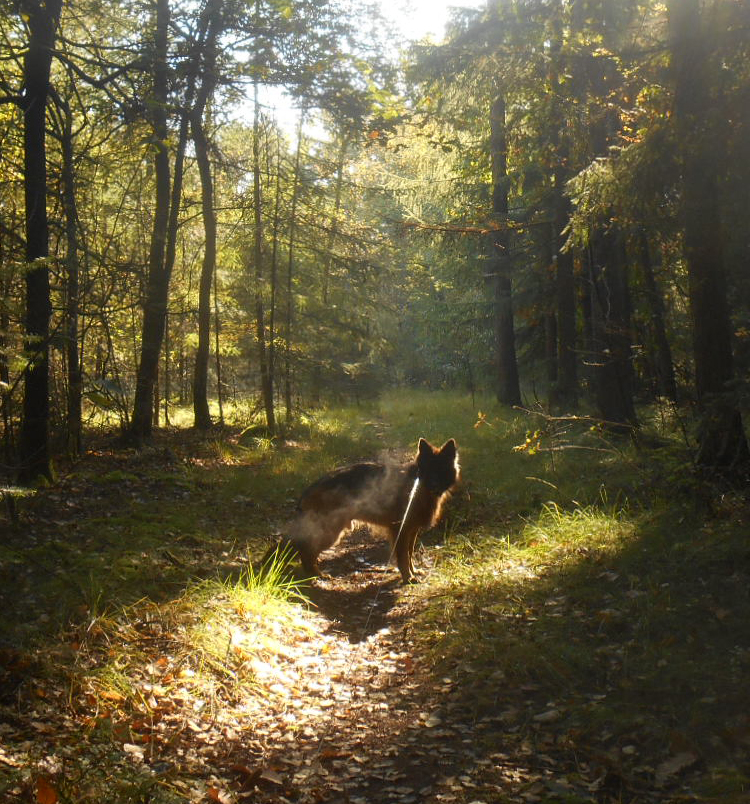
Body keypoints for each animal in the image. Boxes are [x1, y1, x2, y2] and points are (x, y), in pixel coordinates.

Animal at [268, 440, 462, 584]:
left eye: (441, 470)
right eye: (428, 470)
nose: (435, 486)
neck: (417, 487)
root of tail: (311, 488)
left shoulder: (412, 531)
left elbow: (409, 553)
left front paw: (414, 571)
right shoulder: (400, 530)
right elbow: (403, 557)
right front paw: (407, 577)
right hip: (329, 533)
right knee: (307, 552)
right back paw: (316, 575)